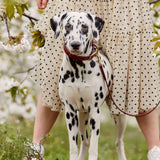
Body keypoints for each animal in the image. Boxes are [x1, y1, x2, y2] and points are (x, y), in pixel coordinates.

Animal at [50, 11, 127, 160]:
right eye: (68, 26)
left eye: (85, 27)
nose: (75, 44)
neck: (78, 67)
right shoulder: (70, 112)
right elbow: (74, 147)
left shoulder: (95, 112)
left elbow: (93, 147)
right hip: (81, 117)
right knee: (85, 141)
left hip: (119, 117)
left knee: (119, 142)